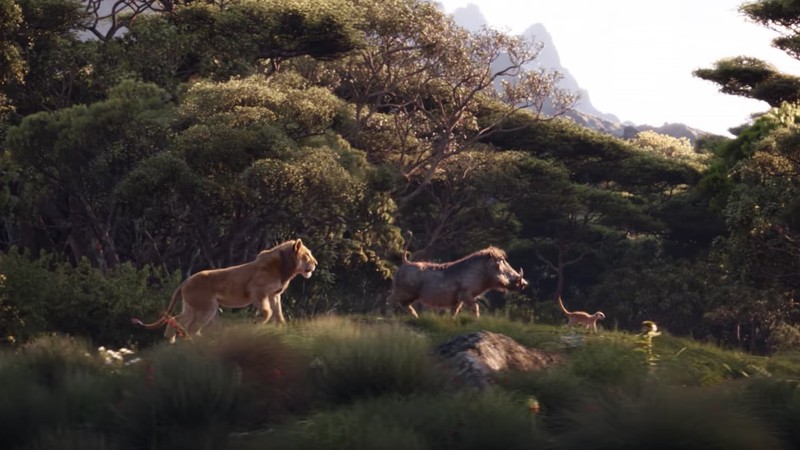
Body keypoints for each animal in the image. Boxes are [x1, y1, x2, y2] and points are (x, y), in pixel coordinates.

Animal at [133, 239, 318, 342]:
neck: (285, 268)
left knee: (177, 320)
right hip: (207, 307)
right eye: (307, 255)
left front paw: (282, 328)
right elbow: (267, 312)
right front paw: (255, 323)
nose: (316, 263)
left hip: (191, 307)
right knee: (191, 328)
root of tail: (185, 281)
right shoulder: (257, 291)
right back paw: (200, 343)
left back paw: (171, 341)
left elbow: (278, 313)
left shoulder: (274, 295)